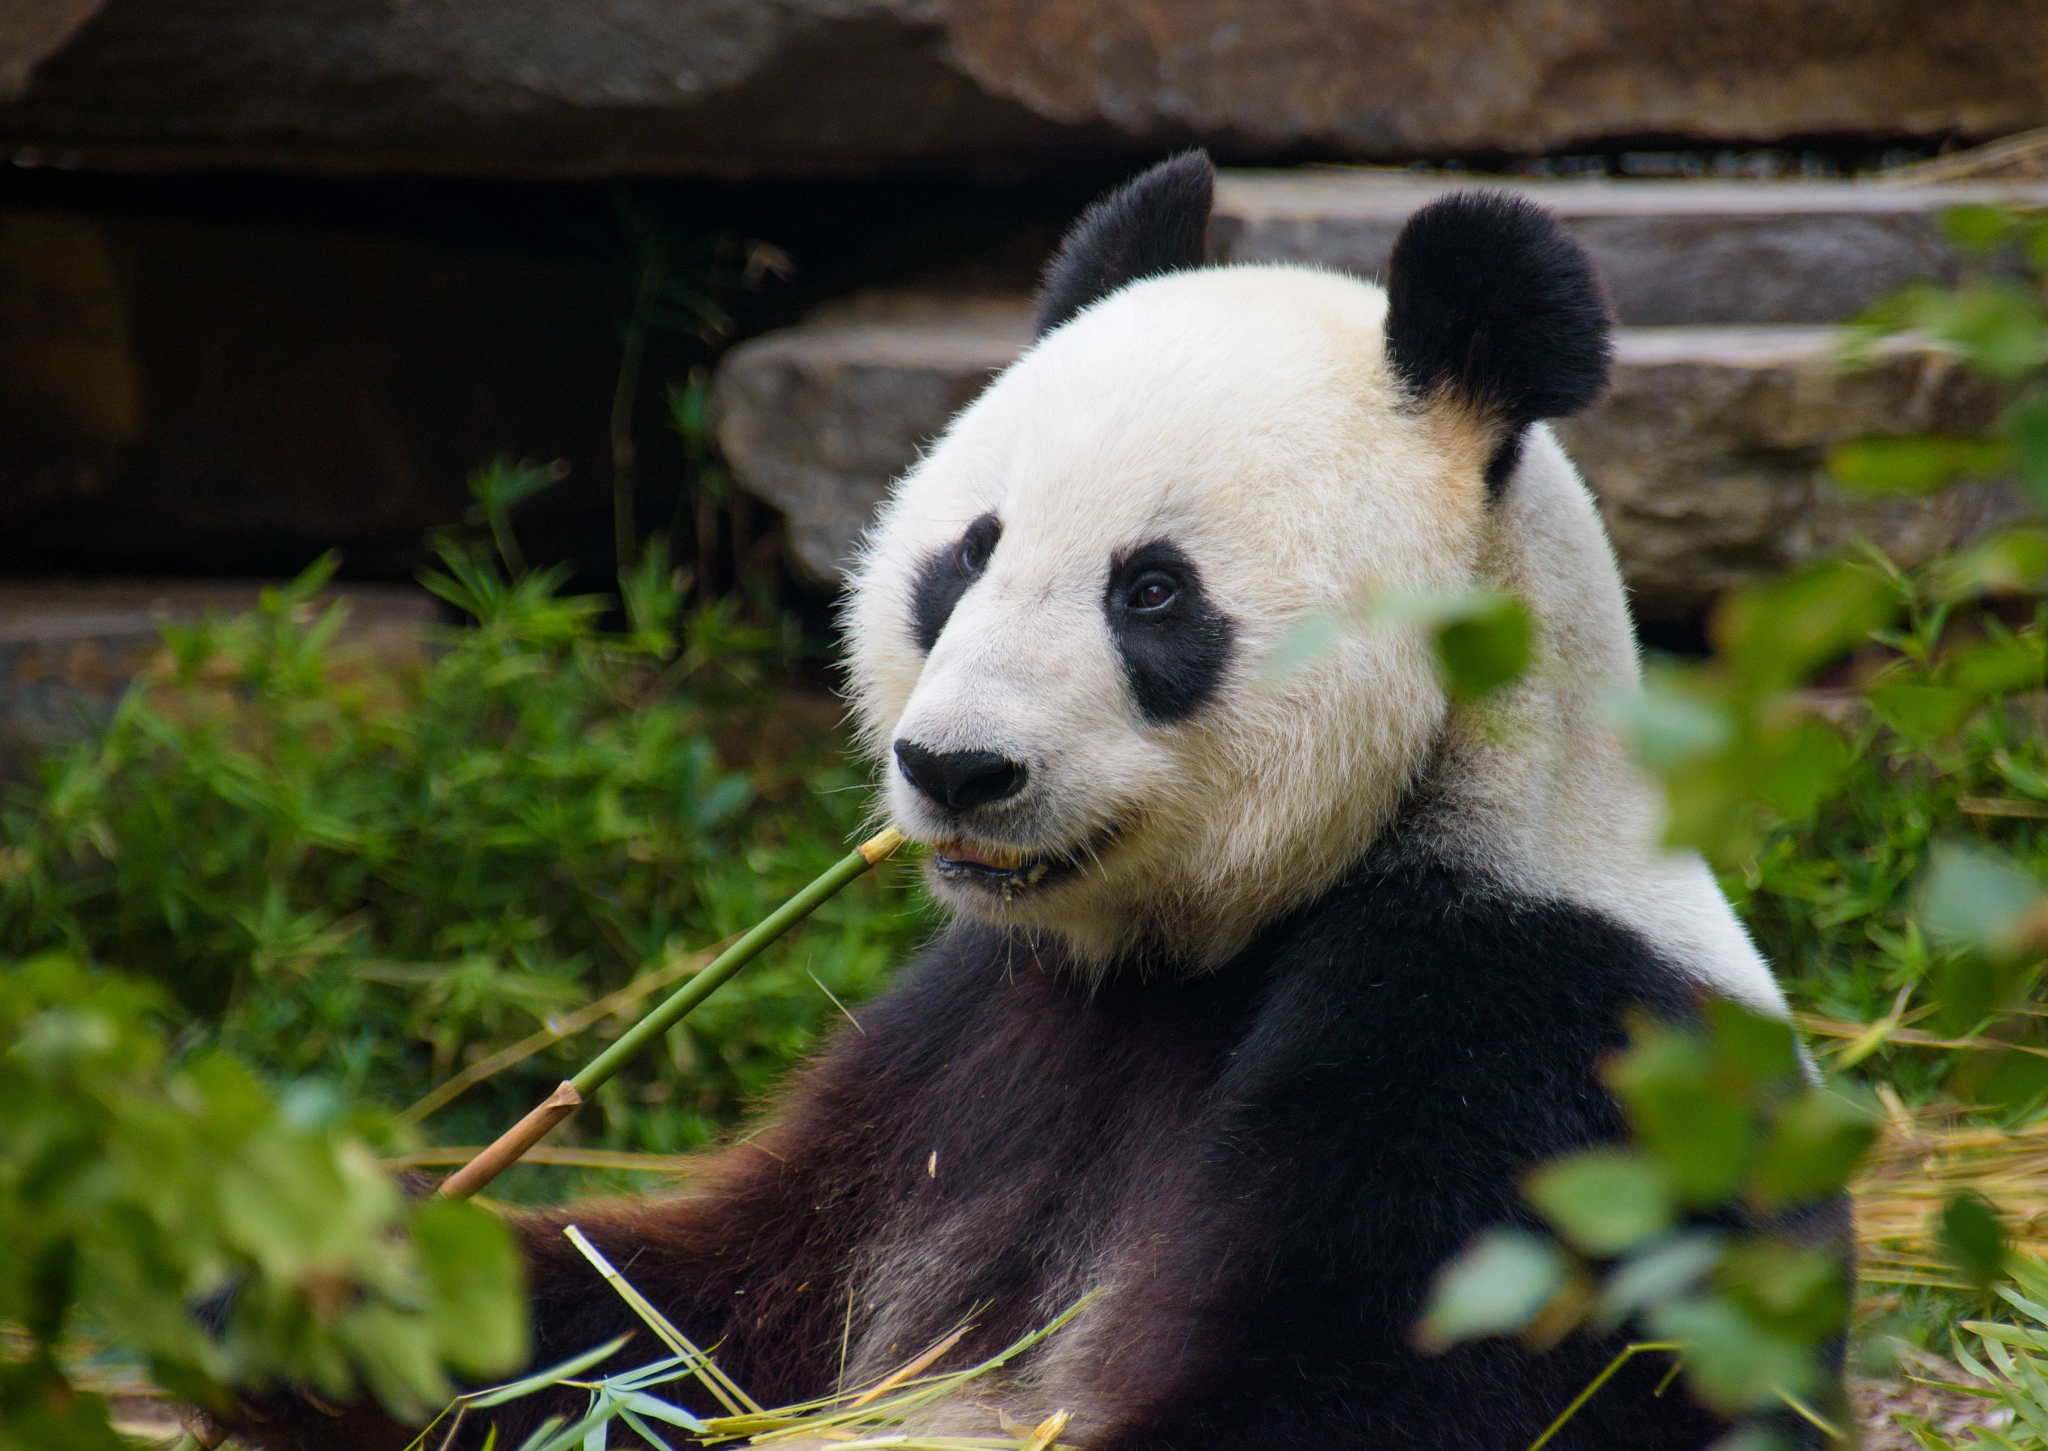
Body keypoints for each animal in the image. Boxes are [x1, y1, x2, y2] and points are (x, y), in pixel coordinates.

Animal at [234, 152, 1835, 1451]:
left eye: (1154, 591)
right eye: (966, 553)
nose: (957, 769)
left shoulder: (1523, 1041)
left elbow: (1395, 1376)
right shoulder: (966, 1049)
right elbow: (682, 1315)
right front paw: (296, 1275)